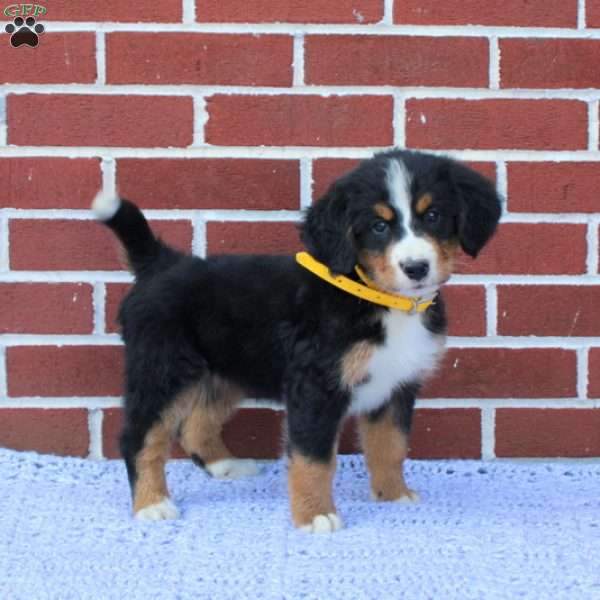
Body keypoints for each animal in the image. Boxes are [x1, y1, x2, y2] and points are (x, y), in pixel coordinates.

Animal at [91, 148, 500, 532]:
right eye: (379, 226)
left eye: (433, 216)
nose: (416, 268)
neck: (376, 297)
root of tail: (160, 262)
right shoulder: (316, 384)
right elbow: (314, 459)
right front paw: (315, 514)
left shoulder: (395, 386)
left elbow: (390, 446)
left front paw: (394, 495)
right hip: (162, 368)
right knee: (139, 436)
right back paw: (152, 503)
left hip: (226, 370)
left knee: (195, 425)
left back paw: (226, 466)